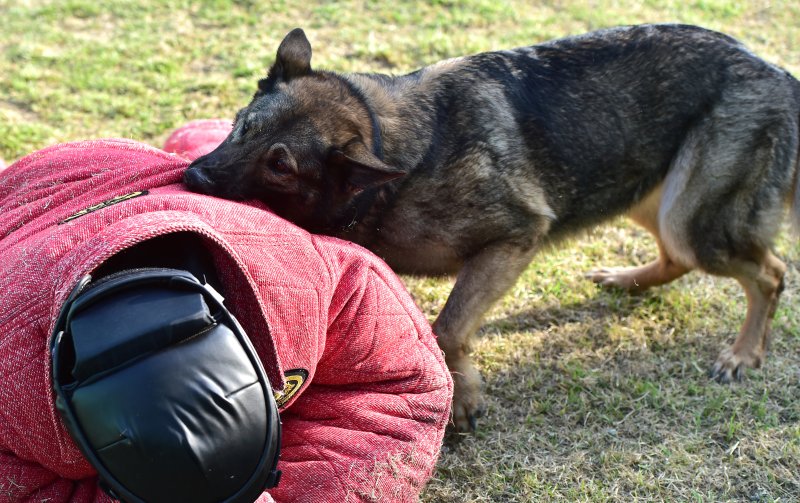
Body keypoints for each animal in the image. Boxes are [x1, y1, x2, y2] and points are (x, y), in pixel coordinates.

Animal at [184, 24, 800, 434]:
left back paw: (743, 354)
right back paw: (629, 281)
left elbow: (448, 327)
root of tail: (776, 72)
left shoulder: (512, 241)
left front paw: (463, 398)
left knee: (770, 272)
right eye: (243, 128)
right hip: (653, 200)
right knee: (679, 259)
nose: (193, 176)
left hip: (692, 221)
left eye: (280, 166)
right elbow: (437, 329)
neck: (393, 151)